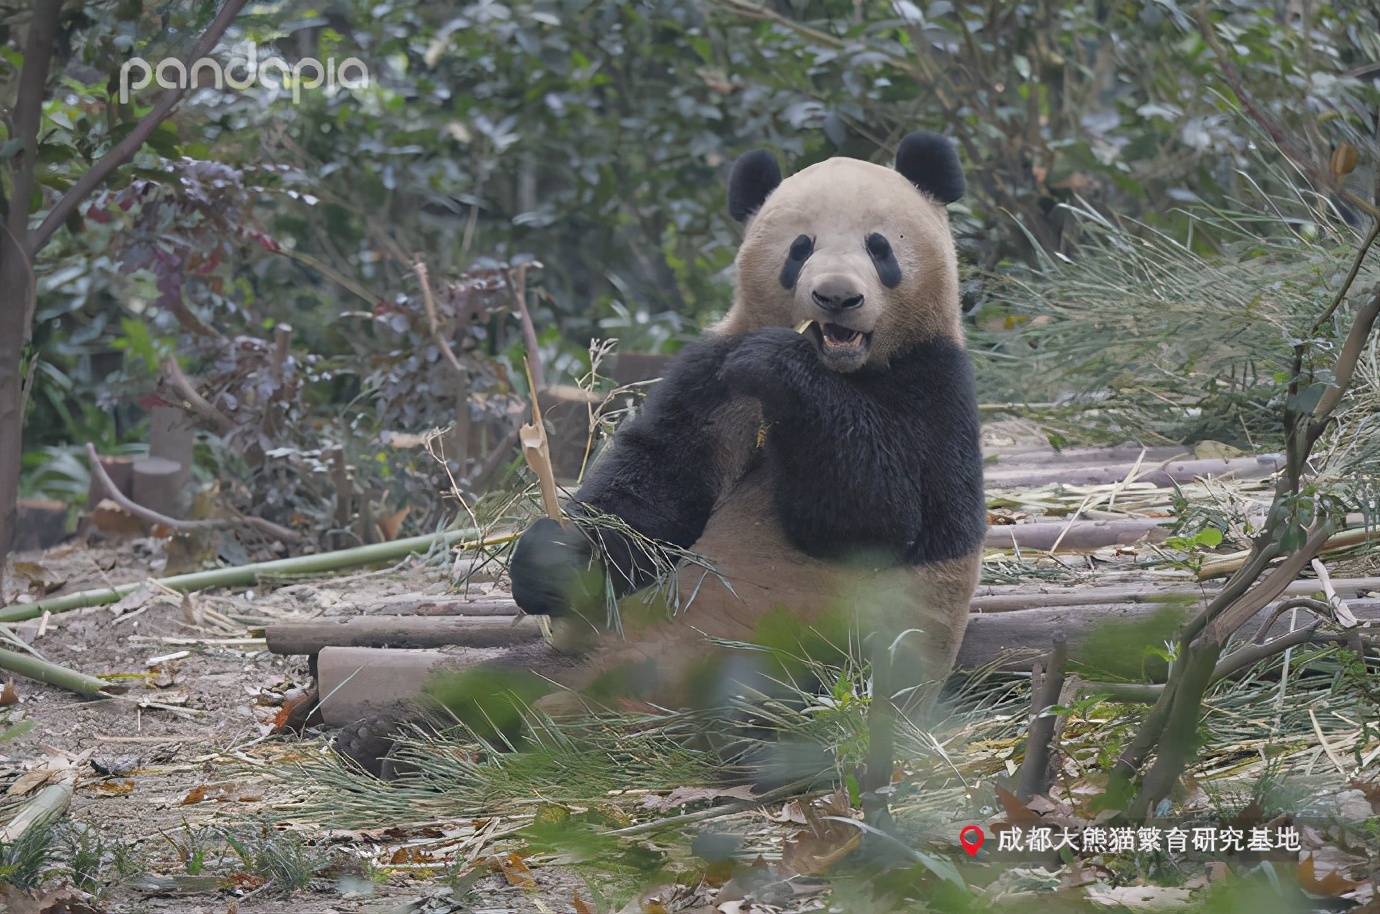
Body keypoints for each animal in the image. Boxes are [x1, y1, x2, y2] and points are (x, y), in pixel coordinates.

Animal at [507, 130, 982, 717]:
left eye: (880, 247)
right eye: (801, 248)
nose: (836, 296)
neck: (839, 368)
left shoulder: (934, 381)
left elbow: (884, 515)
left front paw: (777, 365)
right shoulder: (710, 378)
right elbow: (656, 493)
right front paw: (550, 559)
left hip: (830, 656)